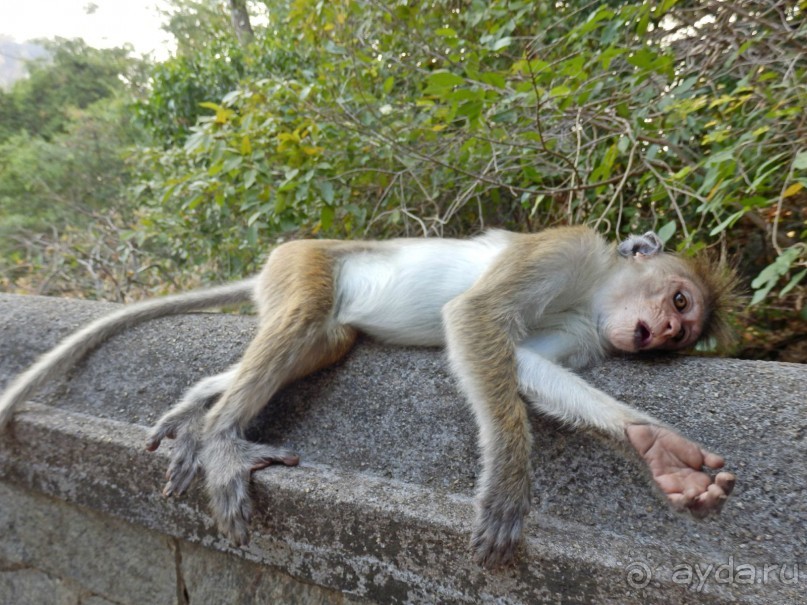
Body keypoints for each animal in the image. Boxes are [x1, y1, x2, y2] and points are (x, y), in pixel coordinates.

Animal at [0, 225, 740, 568]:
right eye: (679, 302)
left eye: (681, 329)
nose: (664, 332)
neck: (591, 294)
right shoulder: (566, 248)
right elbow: (473, 318)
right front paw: (508, 484)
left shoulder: (588, 331)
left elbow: (526, 364)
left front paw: (654, 446)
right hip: (302, 260)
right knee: (304, 318)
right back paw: (220, 442)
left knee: (324, 340)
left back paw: (197, 414)